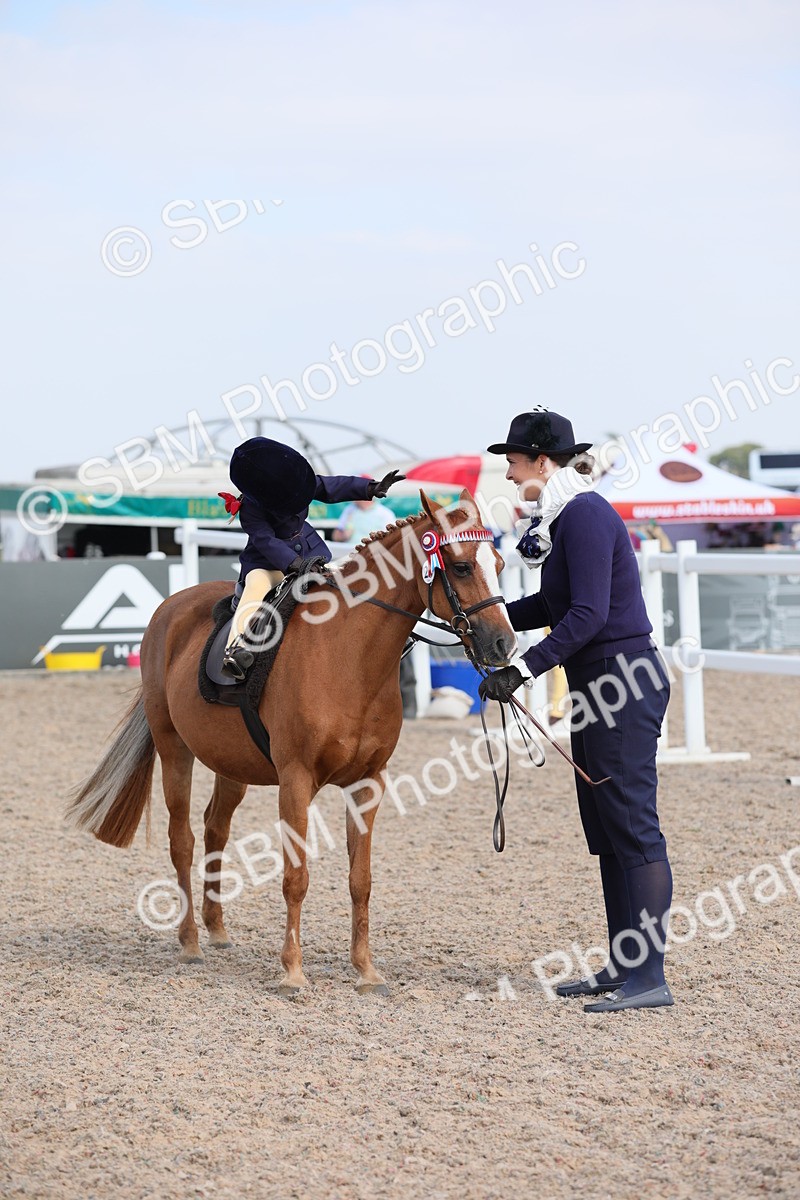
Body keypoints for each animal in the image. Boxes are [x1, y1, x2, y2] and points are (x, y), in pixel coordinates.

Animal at [66, 489, 517, 994]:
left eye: (499, 561)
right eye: (460, 567)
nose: (504, 645)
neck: (348, 656)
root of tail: (170, 610)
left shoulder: (368, 783)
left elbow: (361, 880)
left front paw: (366, 971)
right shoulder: (296, 782)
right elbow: (296, 877)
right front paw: (293, 972)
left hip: (230, 765)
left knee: (215, 829)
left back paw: (217, 929)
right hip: (174, 751)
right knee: (181, 839)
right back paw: (190, 942)